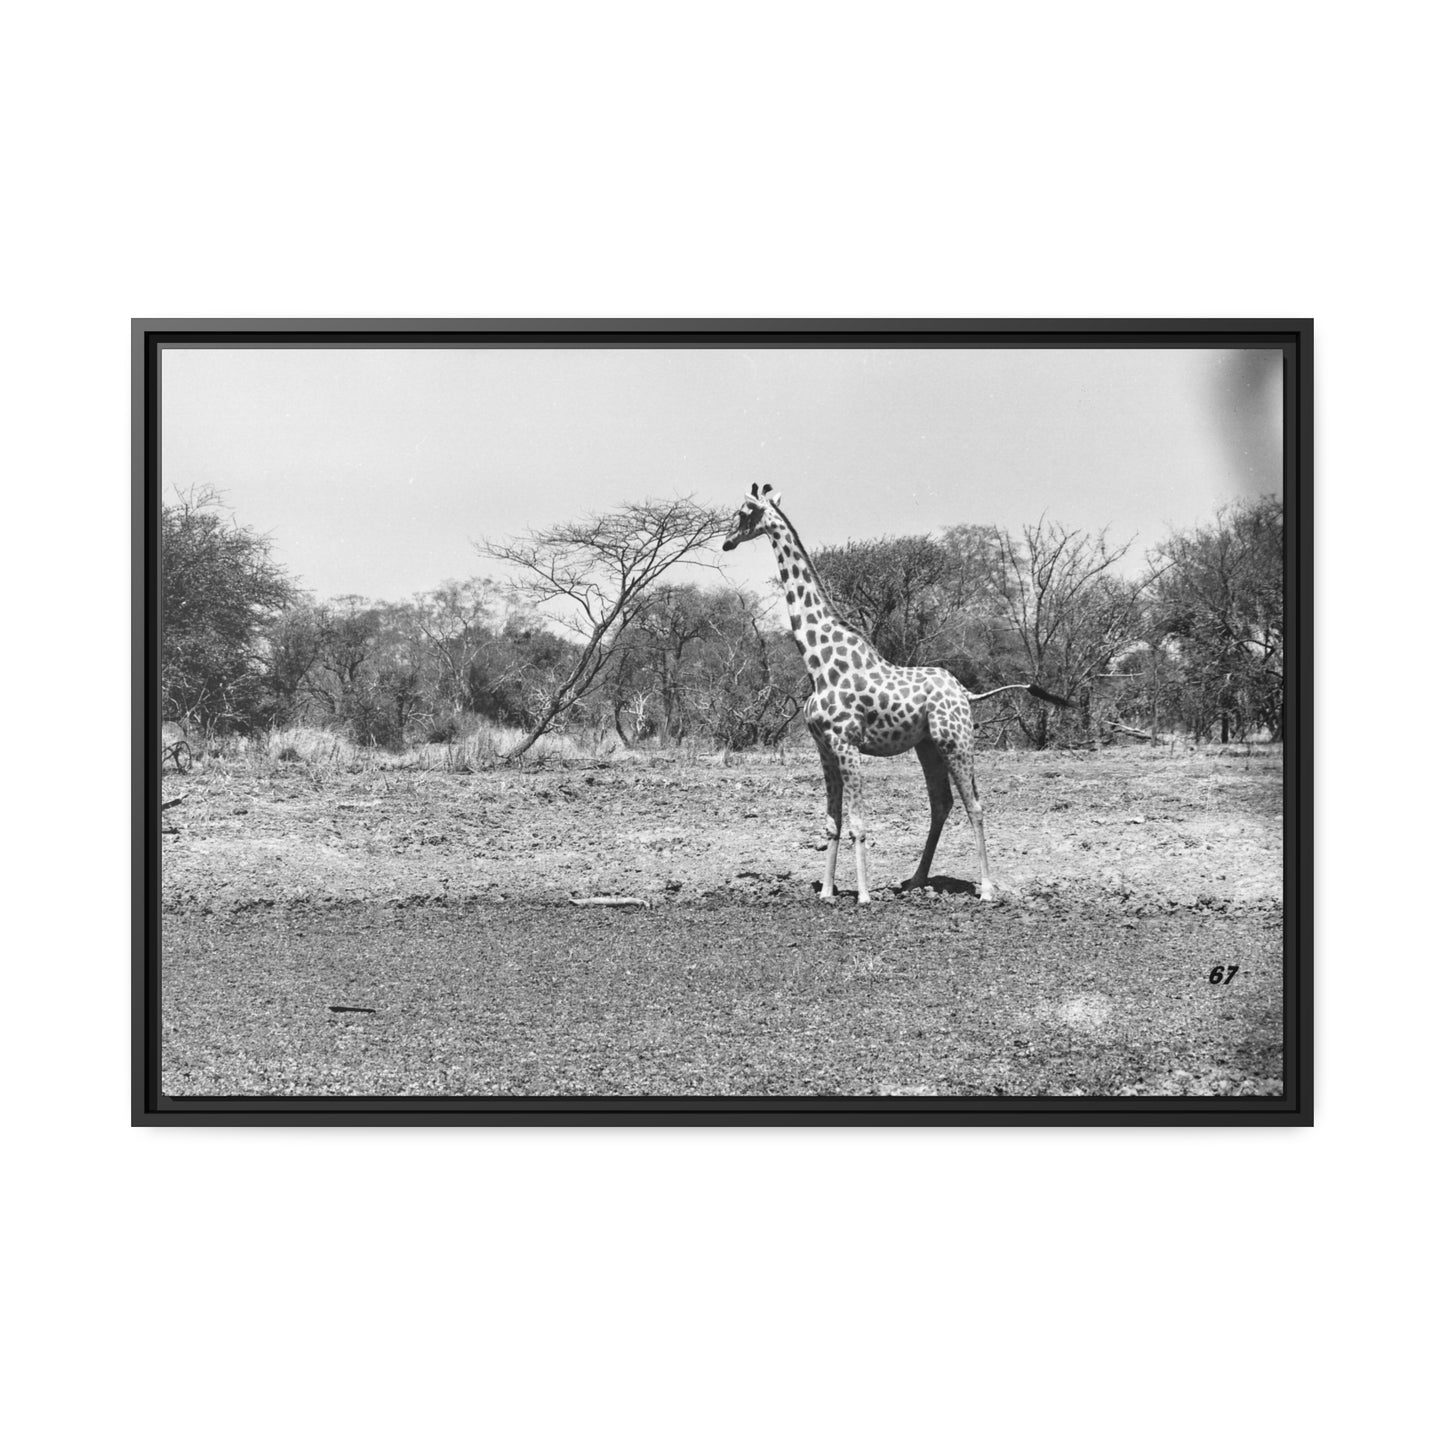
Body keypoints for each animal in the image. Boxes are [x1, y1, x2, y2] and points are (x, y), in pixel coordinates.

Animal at [722, 482, 1066, 904]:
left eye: (743, 512)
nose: (726, 542)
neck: (818, 663)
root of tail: (966, 693)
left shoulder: (847, 744)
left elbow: (858, 823)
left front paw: (864, 895)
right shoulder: (824, 748)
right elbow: (832, 822)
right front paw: (827, 892)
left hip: (956, 740)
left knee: (975, 804)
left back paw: (986, 889)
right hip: (928, 745)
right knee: (942, 803)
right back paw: (916, 880)